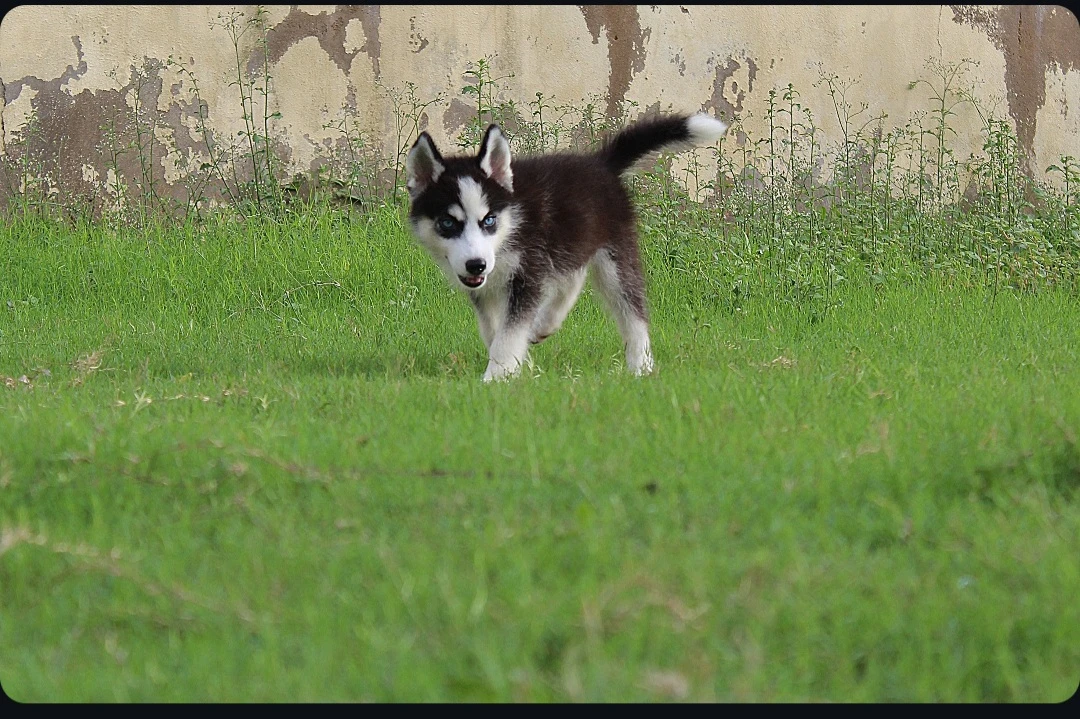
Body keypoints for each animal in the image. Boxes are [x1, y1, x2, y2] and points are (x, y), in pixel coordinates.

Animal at [403, 110, 725, 380]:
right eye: (447, 223)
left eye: (489, 220)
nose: (476, 265)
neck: (509, 231)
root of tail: (601, 164)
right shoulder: (485, 289)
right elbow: (495, 330)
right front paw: (518, 367)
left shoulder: (528, 275)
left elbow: (508, 334)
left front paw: (496, 376)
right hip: (571, 245)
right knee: (572, 278)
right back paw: (545, 324)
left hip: (614, 257)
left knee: (632, 310)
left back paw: (640, 365)